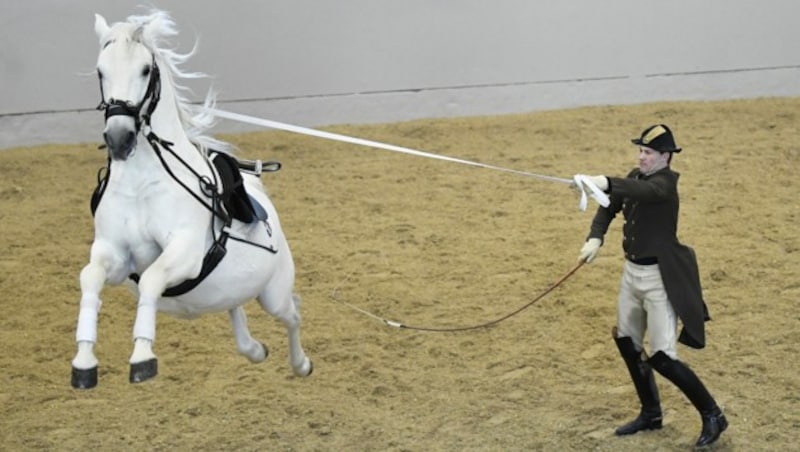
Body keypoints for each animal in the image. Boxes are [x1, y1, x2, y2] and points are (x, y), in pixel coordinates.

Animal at [70, 12, 312, 390]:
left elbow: (152, 279)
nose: (119, 138)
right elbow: (90, 278)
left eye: (145, 70)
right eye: (100, 71)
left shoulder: (184, 254)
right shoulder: (113, 253)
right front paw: (84, 362)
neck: (141, 185)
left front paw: (142, 357)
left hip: (274, 294)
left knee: (293, 315)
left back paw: (301, 364)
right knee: (237, 311)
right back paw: (255, 350)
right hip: (230, 289)